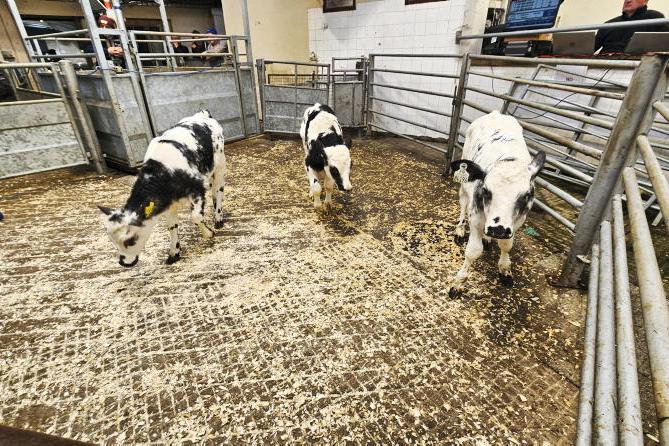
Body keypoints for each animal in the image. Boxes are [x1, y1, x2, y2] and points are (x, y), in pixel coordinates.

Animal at [98, 110, 226, 267]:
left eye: (130, 240)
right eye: (112, 240)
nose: (123, 262)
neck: (164, 172)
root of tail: (202, 115)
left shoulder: (197, 189)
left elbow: (196, 216)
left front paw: (208, 233)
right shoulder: (168, 204)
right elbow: (172, 226)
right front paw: (174, 253)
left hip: (220, 165)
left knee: (218, 190)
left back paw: (218, 218)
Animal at [449, 111, 545, 290]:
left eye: (526, 195)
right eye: (486, 190)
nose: (498, 229)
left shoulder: (516, 223)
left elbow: (506, 245)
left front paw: (505, 270)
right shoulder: (476, 218)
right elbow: (473, 251)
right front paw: (458, 282)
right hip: (464, 185)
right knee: (463, 203)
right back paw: (459, 230)